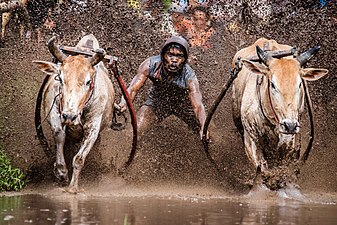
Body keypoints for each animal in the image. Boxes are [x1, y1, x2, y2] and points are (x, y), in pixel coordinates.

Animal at [33, 33, 114, 193]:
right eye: (60, 78)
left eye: (88, 82)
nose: (69, 116)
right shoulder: (55, 114)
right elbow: (59, 135)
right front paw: (61, 172)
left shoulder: (93, 127)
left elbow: (79, 158)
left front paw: (73, 187)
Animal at [231, 37, 328, 192]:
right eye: (272, 84)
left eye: (300, 84)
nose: (290, 125)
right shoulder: (250, 137)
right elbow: (262, 167)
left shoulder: (289, 138)